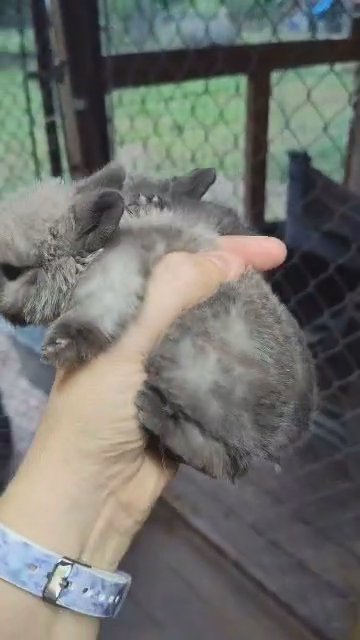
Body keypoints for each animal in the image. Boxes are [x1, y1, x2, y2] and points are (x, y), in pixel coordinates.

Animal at [0, 164, 316, 480]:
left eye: (11, 270)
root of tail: (288, 429)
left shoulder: (119, 268)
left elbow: (99, 307)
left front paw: (63, 344)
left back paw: (155, 415)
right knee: (223, 460)